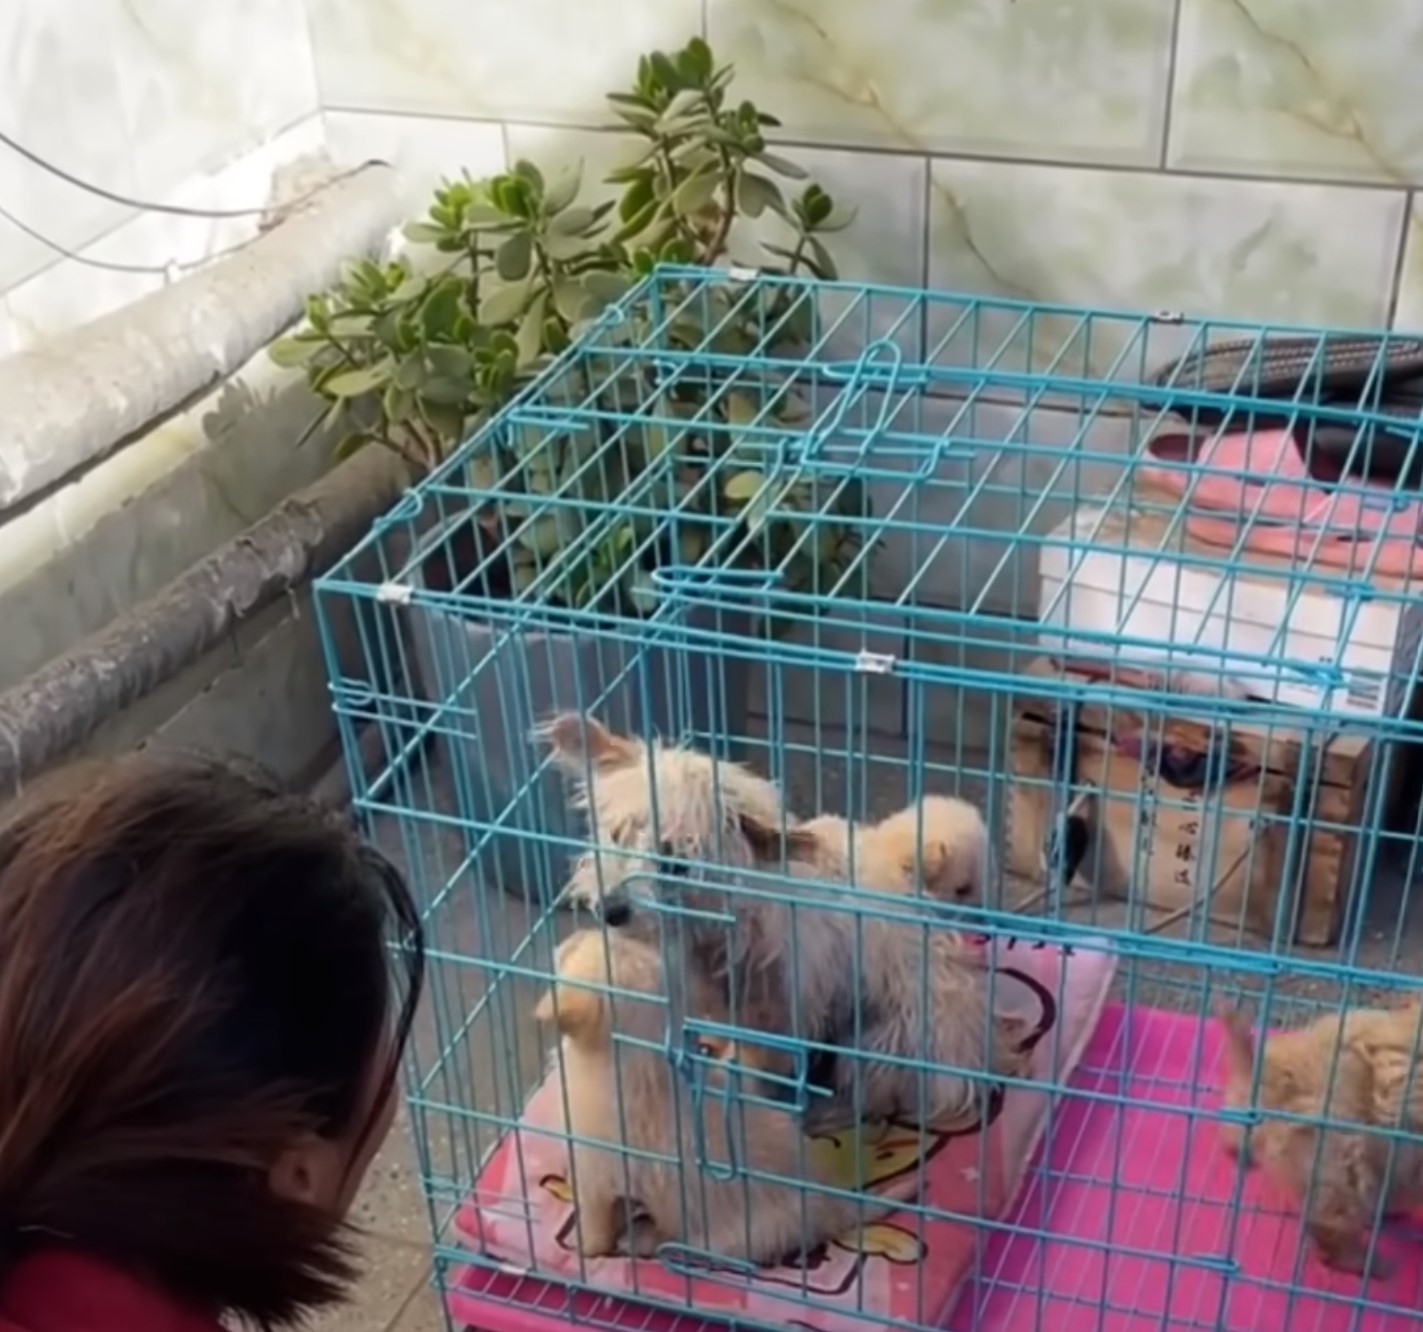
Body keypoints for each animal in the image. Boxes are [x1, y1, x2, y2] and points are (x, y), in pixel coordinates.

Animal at [535, 933, 910, 1263]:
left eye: (577, 950)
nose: (561, 942)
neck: (640, 1062)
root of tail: (829, 1202)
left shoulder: (593, 1179)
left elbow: (595, 1229)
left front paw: (585, 1250)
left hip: (725, 1242)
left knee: (682, 1246)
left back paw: (643, 1239)